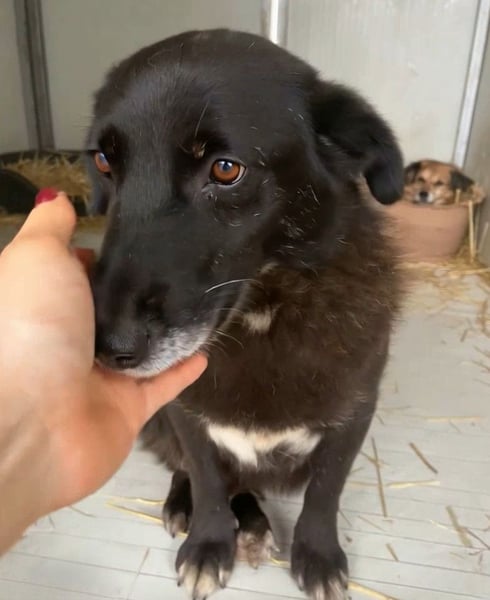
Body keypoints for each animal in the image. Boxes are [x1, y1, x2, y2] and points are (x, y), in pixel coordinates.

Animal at [87, 29, 404, 600]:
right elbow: (209, 481)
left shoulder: (353, 413)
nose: (106, 347)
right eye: (103, 161)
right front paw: (210, 543)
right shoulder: (186, 412)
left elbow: (325, 493)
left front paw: (317, 556)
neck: (261, 317)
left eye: (226, 169)